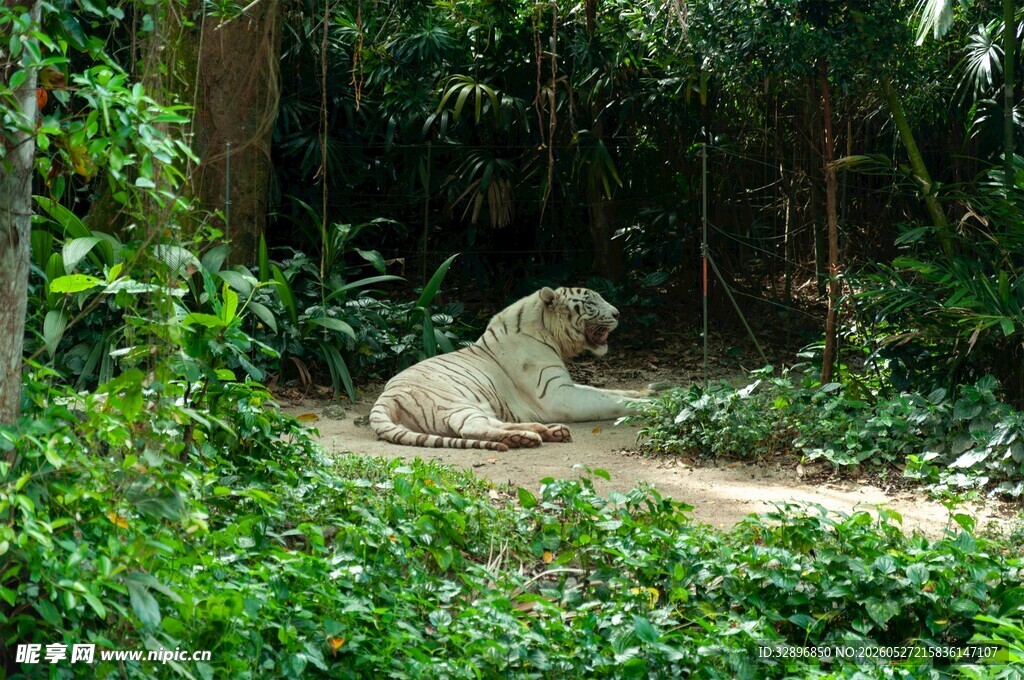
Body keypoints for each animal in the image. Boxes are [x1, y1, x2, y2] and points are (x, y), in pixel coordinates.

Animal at [369, 286, 648, 452]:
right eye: (590, 303)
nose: (618, 313)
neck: (547, 331)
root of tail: (384, 397)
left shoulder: (566, 385)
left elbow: (608, 391)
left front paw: (649, 392)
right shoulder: (556, 395)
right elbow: (609, 401)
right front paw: (650, 405)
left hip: (480, 405)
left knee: (490, 423)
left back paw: (545, 432)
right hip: (454, 403)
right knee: (470, 428)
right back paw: (527, 437)